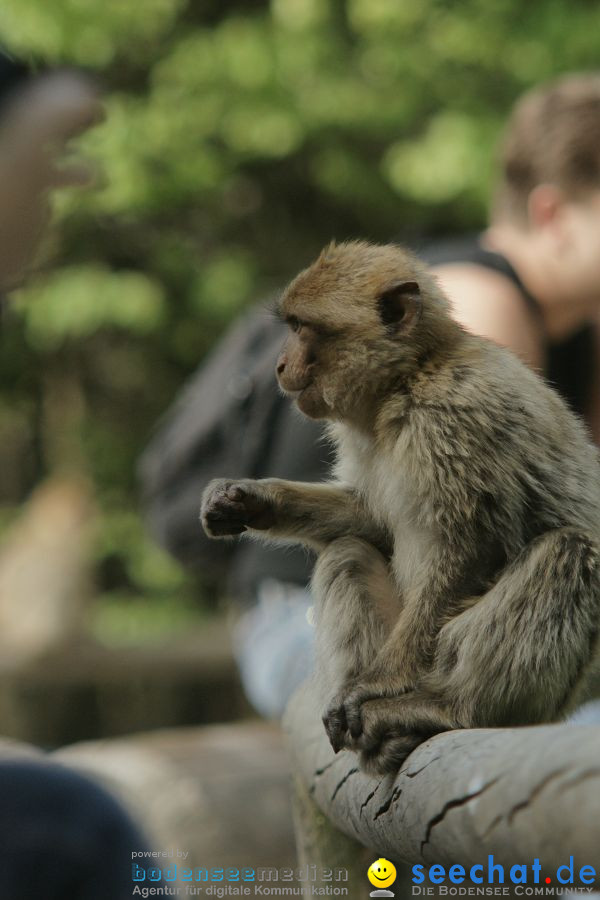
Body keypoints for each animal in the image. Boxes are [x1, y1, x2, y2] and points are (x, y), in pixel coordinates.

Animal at [200, 243, 600, 776]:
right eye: (290, 327)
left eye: (304, 328)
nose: (280, 365)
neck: (405, 382)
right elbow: (370, 521)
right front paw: (252, 500)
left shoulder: (455, 417)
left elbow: (474, 549)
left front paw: (379, 683)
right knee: (347, 553)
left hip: (510, 676)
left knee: (570, 552)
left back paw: (446, 708)